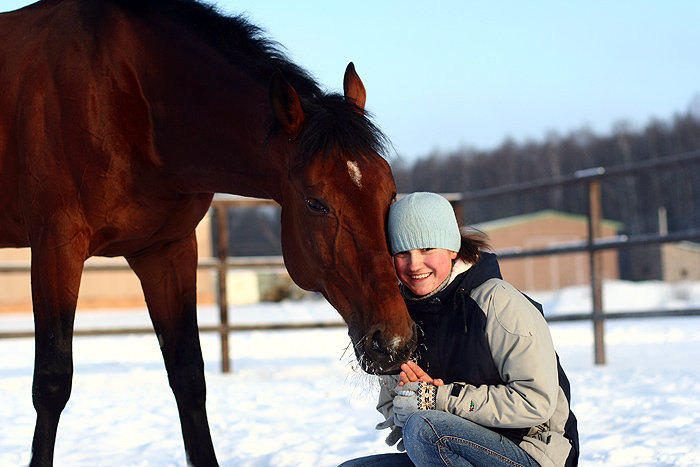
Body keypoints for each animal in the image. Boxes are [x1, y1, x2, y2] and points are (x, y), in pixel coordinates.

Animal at [0, 1, 416, 466]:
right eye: (315, 203)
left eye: (389, 191)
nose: (395, 343)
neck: (123, 97)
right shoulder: (56, 247)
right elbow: (52, 383)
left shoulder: (168, 250)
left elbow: (188, 376)